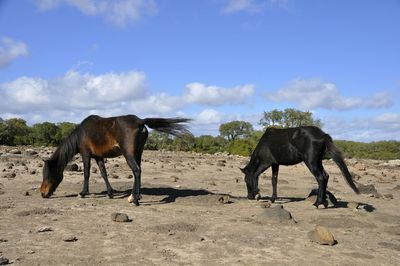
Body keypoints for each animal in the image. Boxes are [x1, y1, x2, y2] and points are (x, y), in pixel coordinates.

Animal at [40, 114, 191, 206]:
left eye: (47, 174)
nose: (42, 193)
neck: (80, 134)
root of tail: (139, 121)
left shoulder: (85, 154)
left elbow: (87, 173)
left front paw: (83, 193)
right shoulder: (99, 157)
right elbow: (103, 174)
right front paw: (110, 193)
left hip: (128, 154)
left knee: (136, 171)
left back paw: (135, 199)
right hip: (138, 153)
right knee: (138, 171)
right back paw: (134, 197)